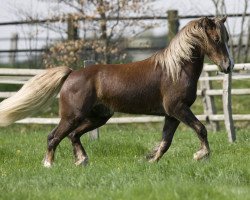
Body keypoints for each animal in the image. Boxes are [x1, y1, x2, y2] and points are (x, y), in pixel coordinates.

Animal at [0, 16, 233, 167]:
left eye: (226, 38)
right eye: (216, 39)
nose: (227, 66)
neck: (176, 69)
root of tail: (71, 73)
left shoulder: (172, 115)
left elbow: (165, 142)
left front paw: (150, 160)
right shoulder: (178, 109)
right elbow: (201, 129)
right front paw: (201, 155)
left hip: (98, 117)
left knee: (74, 136)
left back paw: (82, 161)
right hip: (72, 116)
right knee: (53, 137)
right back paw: (49, 165)